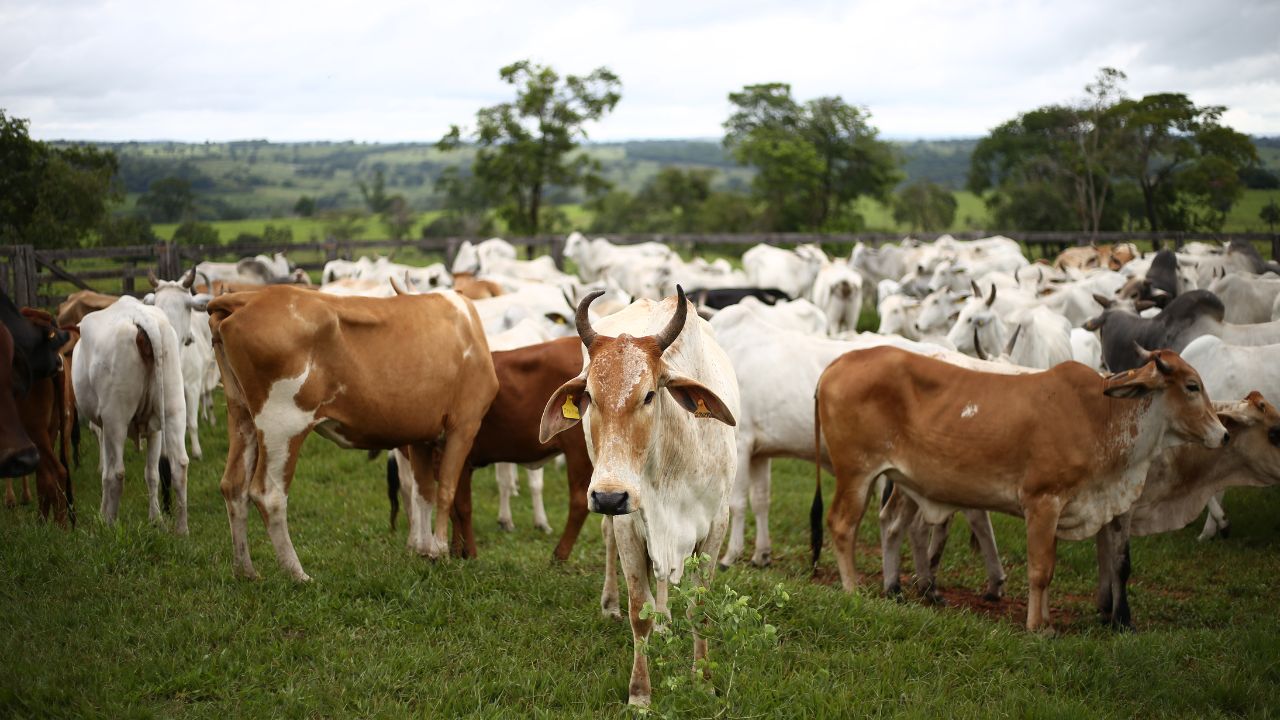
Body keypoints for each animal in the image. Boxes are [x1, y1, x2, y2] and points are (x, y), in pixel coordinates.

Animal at [73, 296, 190, 533]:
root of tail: (140, 316)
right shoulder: (155, 431)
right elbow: (152, 474)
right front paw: (155, 519)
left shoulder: (104, 427)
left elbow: (106, 473)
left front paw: (102, 515)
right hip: (173, 407)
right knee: (179, 465)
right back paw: (181, 530)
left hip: (116, 418)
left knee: (117, 472)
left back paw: (110, 525)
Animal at [207, 285, 498, 580]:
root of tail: (249, 297)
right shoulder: (465, 424)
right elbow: (446, 490)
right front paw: (440, 551)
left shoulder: (421, 435)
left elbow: (423, 492)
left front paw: (425, 551)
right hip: (282, 424)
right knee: (269, 495)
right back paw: (298, 574)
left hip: (241, 415)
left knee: (234, 486)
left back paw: (246, 571)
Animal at [538, 287, 739, 706]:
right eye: (590, 396)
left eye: (649, 395)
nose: (609, 497)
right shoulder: (630, 522)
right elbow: (638, 611)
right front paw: (640, 694)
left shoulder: (717, 523)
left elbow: (700, 607)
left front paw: (703, 680)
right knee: (609, 542)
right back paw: (611, 603)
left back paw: (665, 621)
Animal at [813, 345, 1228, 630]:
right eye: (1192, 386)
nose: (1223, 434)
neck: (1100, 416)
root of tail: (838, 363)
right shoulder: (1042, 501)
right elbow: (1040, 569)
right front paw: (1036, 627)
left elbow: (1053, 568)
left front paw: (1047, 620)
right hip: (856, 473)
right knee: (842, 525)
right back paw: (853, 591)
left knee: (888, 524)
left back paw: (894, 590)